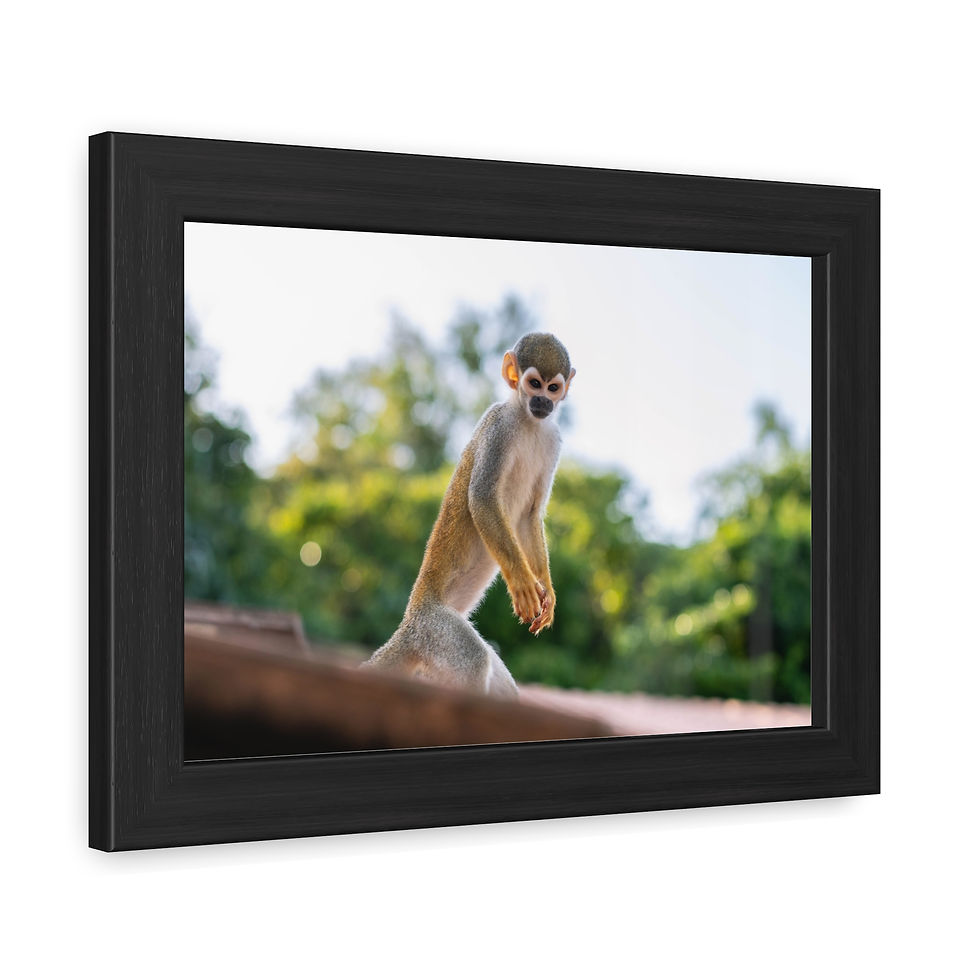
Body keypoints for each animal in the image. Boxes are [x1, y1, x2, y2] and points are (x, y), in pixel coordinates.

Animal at [362, 332, 575, 699]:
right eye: (534, 384)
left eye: (553, 388)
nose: (543, 403)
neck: (528, 421)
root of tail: (409, 623)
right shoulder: (498, 426)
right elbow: (482, 498)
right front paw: (522, 582)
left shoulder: (553, 440)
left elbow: (530, 515)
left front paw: (546, 590)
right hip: (436, 631)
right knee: (473, 660)